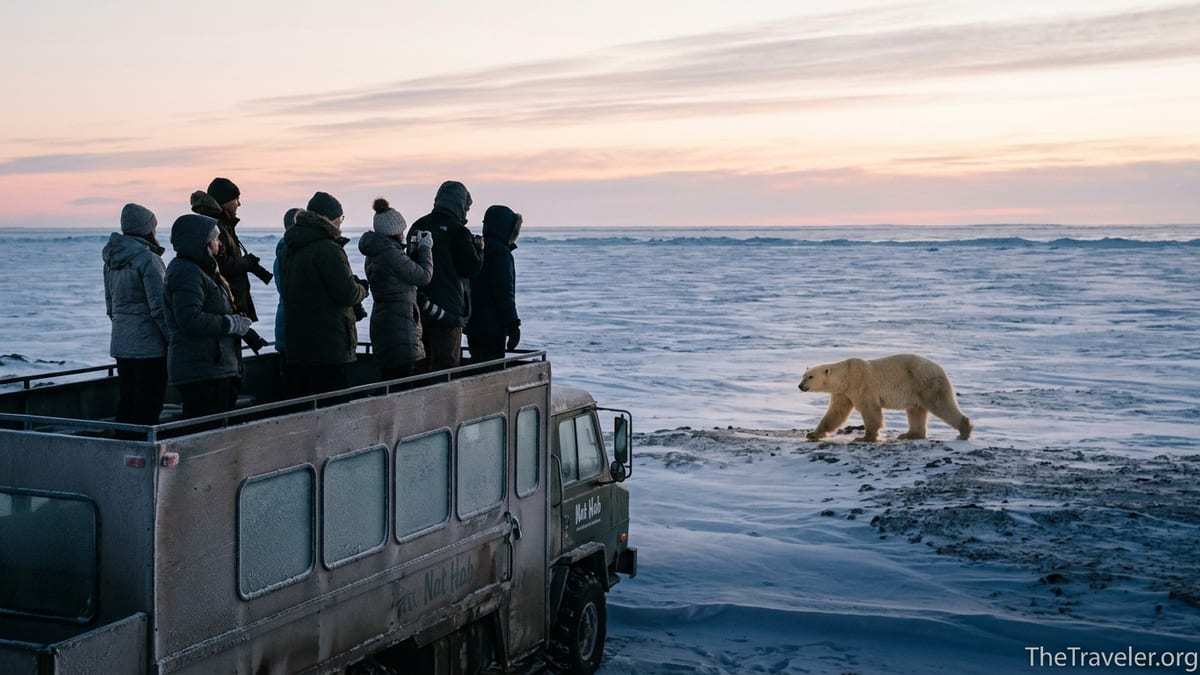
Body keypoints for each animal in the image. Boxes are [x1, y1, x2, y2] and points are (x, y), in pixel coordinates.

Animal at [798, 353, 972, 442]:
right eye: (803, 376)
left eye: (810, 377)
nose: (800, 386)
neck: (846, 376)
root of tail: (941, 369)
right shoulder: (843, 393)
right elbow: (835, 413)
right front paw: (813, 434)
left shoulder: (861, 385)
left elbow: (870, 411)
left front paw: (865, 437)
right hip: (916, 390)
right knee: (916, 411)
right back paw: (909, 435)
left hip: (925, 383)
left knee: (941, 405)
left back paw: (964, 430)